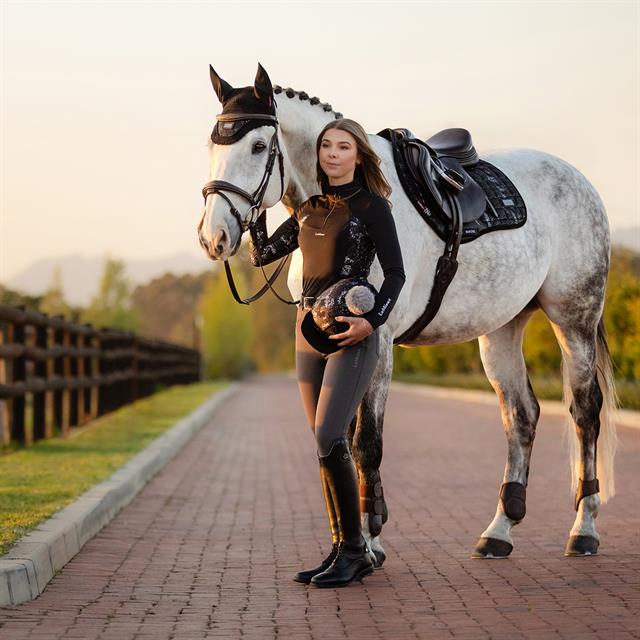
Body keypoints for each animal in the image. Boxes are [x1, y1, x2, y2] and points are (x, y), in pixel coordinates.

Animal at [196, 63, 616, 564]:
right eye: (211, 146)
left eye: (259, 146)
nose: (214, 237)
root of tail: (578, 179)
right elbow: (339, 434)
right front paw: (356, 540)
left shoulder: (375, 340)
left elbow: (366, 443)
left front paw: (369, 541)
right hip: (501, 330)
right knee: (521, 415)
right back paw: (499, 530)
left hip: (574, 317)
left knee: (584, 411)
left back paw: (584, 529)